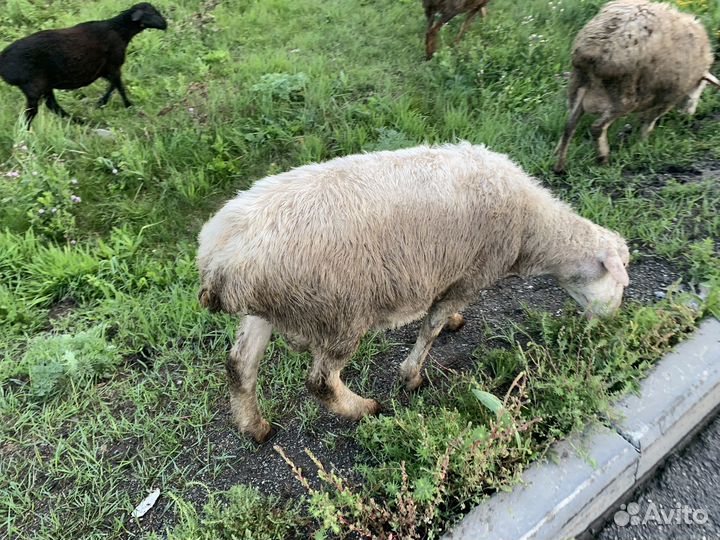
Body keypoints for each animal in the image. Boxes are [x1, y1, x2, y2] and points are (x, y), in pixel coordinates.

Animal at [0, 3, 167, 126]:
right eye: (151, 13)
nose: (165, 24)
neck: (120, 31)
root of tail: (3, 61)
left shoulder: (105, 70)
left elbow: (116, 84)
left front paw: (116, 104)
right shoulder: (113, 65)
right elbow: (117, 85)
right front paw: (110, 104)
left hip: (44, 84)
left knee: (52, 106)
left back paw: (79, 121)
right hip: (33, 85)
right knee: (31, 112)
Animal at [197, 143, 630, 443]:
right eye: (621, 283)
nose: (610, 324)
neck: (532, 231)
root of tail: (218, 257)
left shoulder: (454, 274)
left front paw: (451, 326)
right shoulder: (471, 275)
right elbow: (431, 326)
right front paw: (412, 376)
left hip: (265, 310)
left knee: (239, 366)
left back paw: (255, 427)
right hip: (339, 313)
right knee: (320, 382)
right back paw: (363, 408)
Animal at [554, 0, 720, 173]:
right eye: (701, 85)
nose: (688, 115)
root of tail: (594, 49)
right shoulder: (666, 98)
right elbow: (649, 122)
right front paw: (643, 144)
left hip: (579, 84)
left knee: (569, 125)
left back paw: (559, 163)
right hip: (624, 96)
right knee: (597, 127)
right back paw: (603, 157)